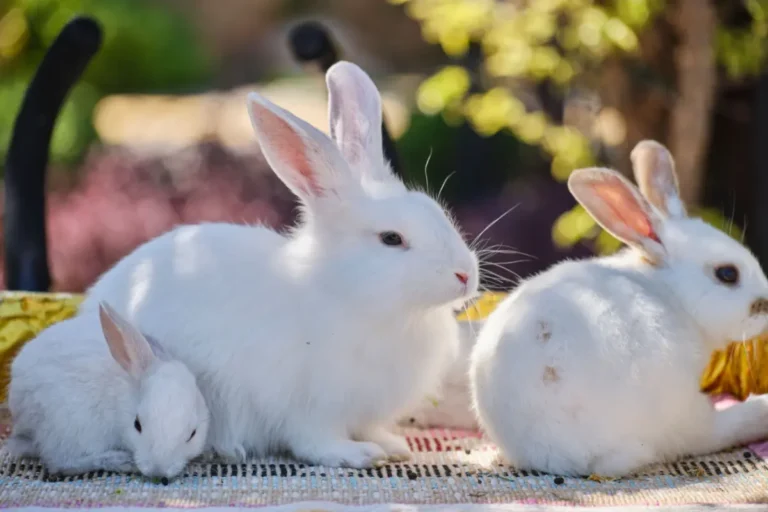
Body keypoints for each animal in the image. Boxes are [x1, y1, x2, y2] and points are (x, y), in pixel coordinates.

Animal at [6, 302, 210, 480]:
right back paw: (120, 460)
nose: (157, 472)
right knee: (60, 463)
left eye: (193, 434)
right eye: (137, 425)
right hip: (73, 426)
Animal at [78, 61, 479, 469]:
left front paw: (392, 445)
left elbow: (368, 428)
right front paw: (358, 454)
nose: (466, 274)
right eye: (392, 239)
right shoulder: (310, 405)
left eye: (438, 212)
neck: (348, 294)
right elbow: (315, 441)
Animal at [470, 140, 768, 477]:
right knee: (715, 431)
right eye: (727, 274)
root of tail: (556, 452)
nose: (766, 304)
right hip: (684, 414)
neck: (671, 293)